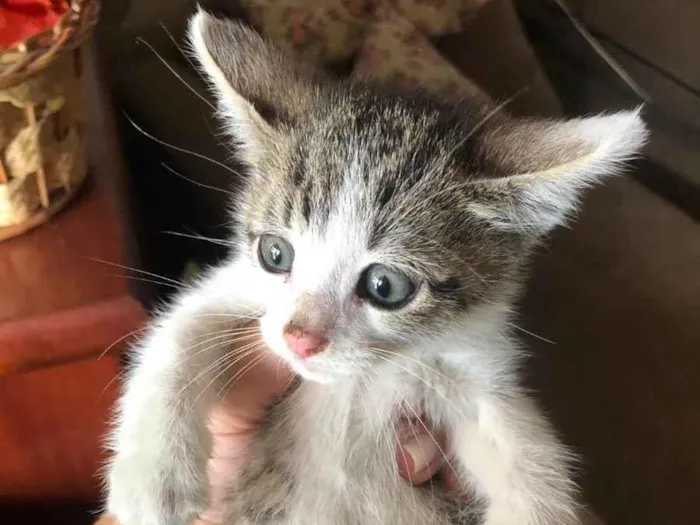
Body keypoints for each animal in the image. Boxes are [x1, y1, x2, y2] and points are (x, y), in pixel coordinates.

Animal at [102, 9, 644, 524]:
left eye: (386, 286)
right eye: (275, 254)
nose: (301, 339)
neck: (355, 379)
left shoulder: (472, 367)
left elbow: (528, 449)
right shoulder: (243, 295)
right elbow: (183, 327)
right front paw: (152, 480)